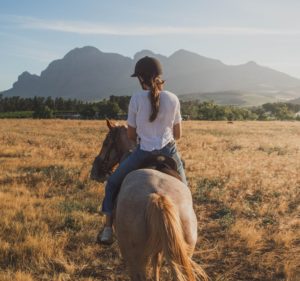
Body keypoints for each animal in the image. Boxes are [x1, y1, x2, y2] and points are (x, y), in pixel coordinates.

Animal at [91, 119, 207, 280]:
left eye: (106, 142)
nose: (95, 171)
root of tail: (158, 196)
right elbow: (156, 263)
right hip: (184, 250)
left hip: (133, 257)